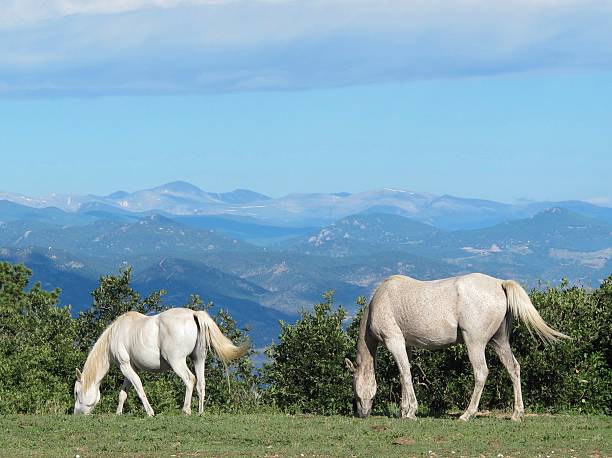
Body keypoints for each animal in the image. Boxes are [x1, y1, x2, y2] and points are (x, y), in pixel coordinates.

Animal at [73, 306, 249, 416]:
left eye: (76, 392)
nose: (76, 414)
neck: (115, 335)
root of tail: (194, 314)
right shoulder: (131, 368)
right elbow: (123, 393)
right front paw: (118, 413)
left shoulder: (125, 366)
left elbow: (139, 388)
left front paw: (150, 412)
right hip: (198, 359)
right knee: (201, 383)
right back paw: (200, 412)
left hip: (177, 361)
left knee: (190, 380)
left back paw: (186, 410)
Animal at [346, 274, 572, 420]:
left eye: (356, 391)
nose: (362, 414)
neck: (380, 301)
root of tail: (499, 284)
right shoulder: (406, 345)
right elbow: (404, 374)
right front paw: (404, 410)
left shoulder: (394, 341)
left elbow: (405, 374)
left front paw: (410, 412)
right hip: (499, 342)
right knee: (513, 368)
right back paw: (517, 414)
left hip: (475, 343)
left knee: (481, 372)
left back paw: (467, 414)